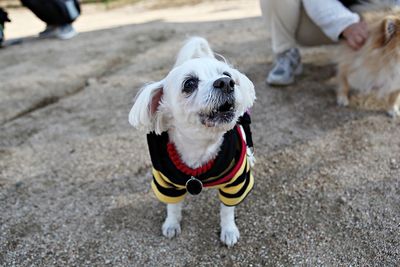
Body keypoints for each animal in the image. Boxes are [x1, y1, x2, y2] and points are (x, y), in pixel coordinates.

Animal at [128, 37, 256, 247]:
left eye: (227, 74)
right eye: (189, 83)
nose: (226, 82)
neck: (200, 146)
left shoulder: (235, 184)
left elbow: (227, 210)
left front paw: (229, 230)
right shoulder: (165, 184)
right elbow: (172, 206)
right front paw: (171, 224)